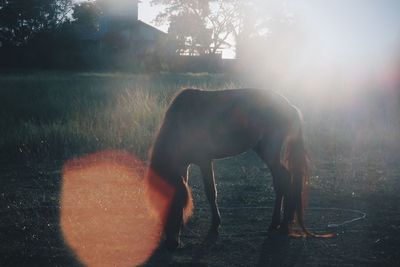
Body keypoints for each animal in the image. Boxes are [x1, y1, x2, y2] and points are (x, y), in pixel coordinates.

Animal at [145, 88, 314, 251]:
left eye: (177, 203)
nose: (171, 244)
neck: (182, 123)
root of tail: (290, 106)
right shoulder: (182, 166)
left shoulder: (204, 161)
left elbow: (211, 192)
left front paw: (214, 227)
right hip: (263, 149)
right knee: (280, 180)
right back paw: (277, 224)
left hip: (270, 150)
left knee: (283, 178)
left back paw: (283, 225)